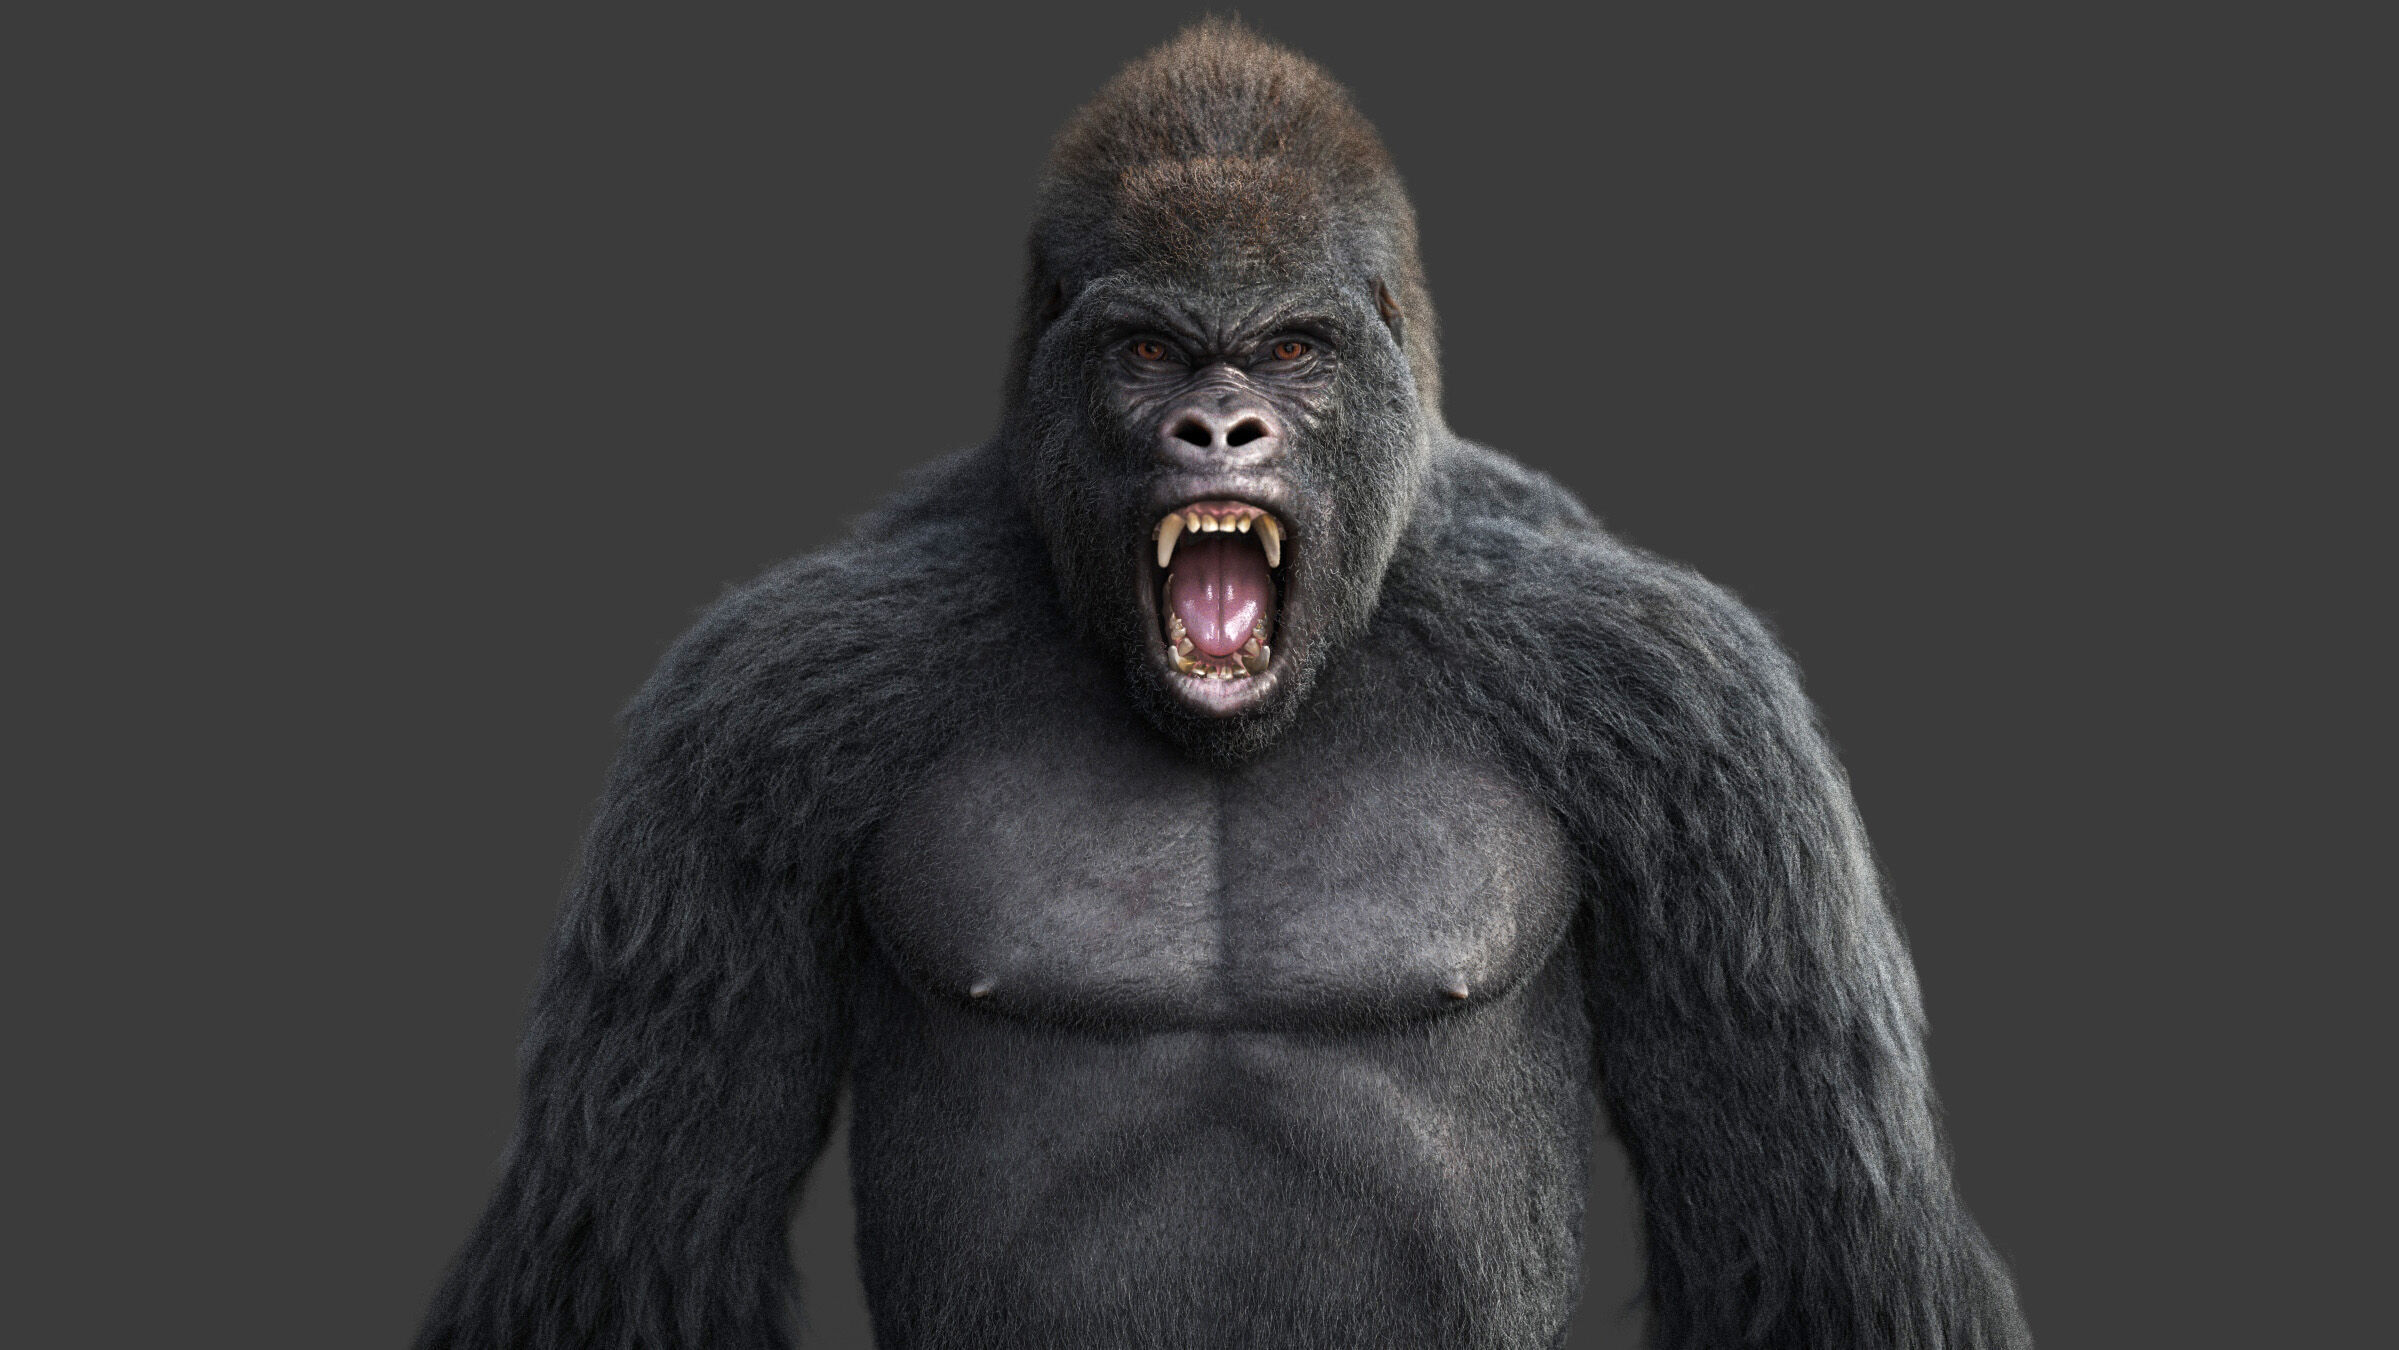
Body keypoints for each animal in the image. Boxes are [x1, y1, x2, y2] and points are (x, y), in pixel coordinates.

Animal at [418, 21, 2030, 1349]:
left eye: (1291, 348)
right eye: (1146, 350)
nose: (1217, 429)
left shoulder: (1686, 705)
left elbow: (1814, 1235)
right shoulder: (754, 712)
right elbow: (636, 1234)